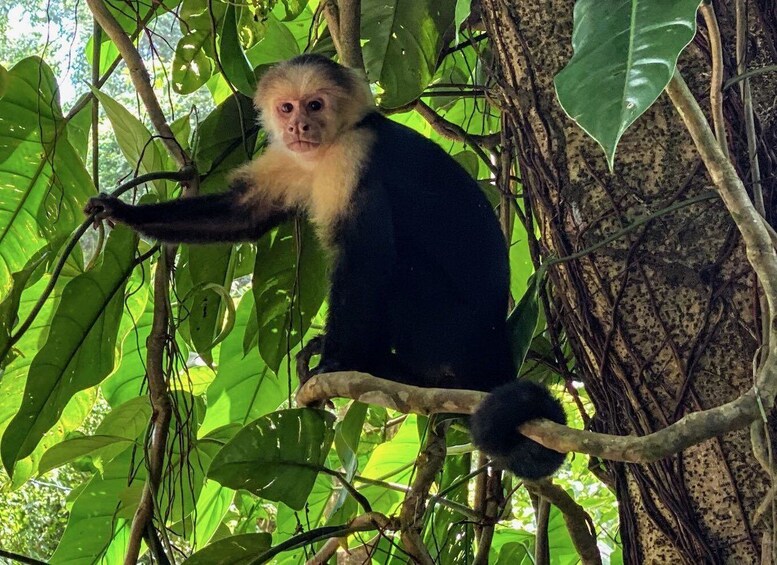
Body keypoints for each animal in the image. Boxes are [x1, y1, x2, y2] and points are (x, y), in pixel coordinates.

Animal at [85, 53, 568, 478]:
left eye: (315, 105)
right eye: (287, 107)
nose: (299, 125)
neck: (326, 150)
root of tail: (496, 346)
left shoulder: (354, 156)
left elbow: (365, 258)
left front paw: (335, 361)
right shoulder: (288, 157)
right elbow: (244, 215)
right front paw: (122, 212)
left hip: (450, 331)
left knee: (398, 269)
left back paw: (378, 365)